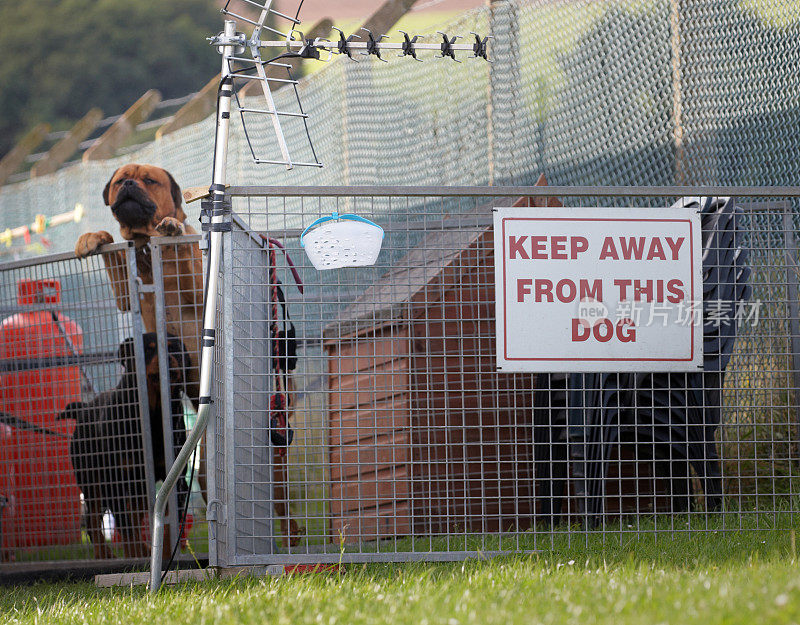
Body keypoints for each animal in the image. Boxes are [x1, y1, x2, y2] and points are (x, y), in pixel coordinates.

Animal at [75, 163, 206, 500]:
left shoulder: (199, 287)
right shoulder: (124, 295)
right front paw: (91, 237)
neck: (147, 243)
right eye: (121, 180)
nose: (130, 185)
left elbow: (185, 252)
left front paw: (172, 225)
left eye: (149, 180)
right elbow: (111, 248)